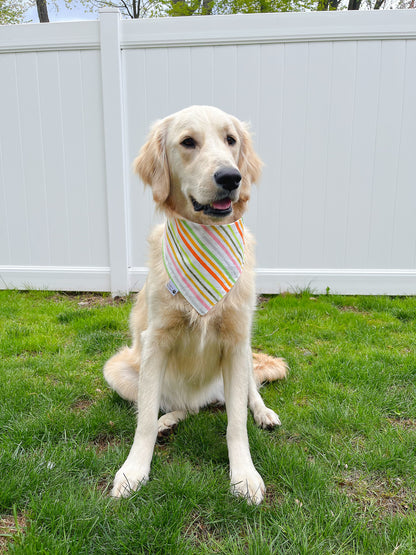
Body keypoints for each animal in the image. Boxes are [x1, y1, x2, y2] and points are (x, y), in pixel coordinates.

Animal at [103, 104, 286, 504]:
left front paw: (244, 475)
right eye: (188, 142)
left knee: (249, 394)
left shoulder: (236, 341)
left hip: (244, 359)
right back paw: (166, 422)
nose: (231, 177)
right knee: (175, 407)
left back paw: (264, 413)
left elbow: (236, 424)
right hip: (119, 370)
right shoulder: (155, 340)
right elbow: (142, 421)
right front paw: (134, 470)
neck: (207, 234)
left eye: (230, 140)